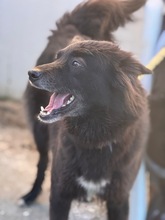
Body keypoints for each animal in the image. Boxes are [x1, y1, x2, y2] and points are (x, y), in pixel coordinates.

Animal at [28, 39, 151, 220]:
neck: (95, 137)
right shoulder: (60, 193)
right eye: (58, 57)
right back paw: (30, 195)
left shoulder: (119, 199)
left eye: (76, 63)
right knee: (42, 163)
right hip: (40, 137)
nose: (31, 73)